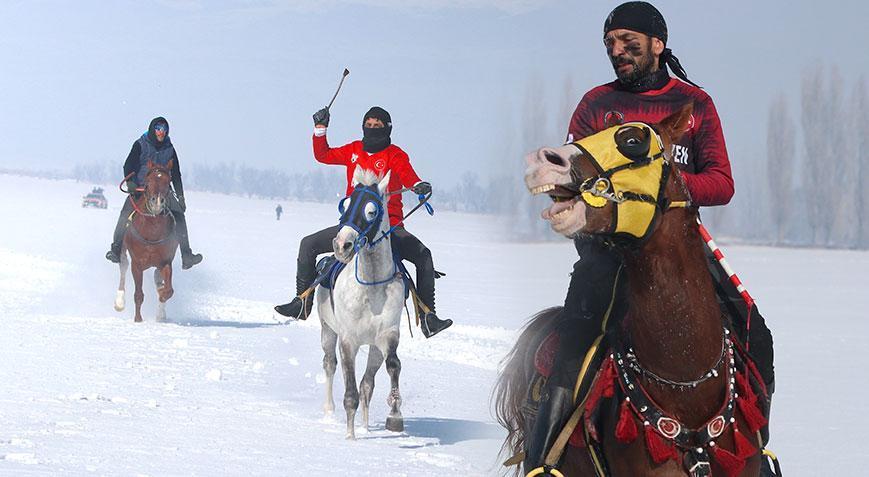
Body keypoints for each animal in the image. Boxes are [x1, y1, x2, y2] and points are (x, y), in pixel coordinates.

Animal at [112, 164, 179, 324]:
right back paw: (119, 302)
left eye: (168, 182)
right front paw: (138, 319)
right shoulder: (137, 263)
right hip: (122, 250)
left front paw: (161, 305)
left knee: (157, 277)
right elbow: (138, 294)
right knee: (123, 267)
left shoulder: (166, 262)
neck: (152, 232)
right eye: (148, 182)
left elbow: (168, 290)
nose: (157, 202)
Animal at [316, 167, 406, 438]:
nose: (341, 245)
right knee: (329, 364)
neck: (372, 286)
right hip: (327, 330)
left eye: (371, 211)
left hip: (373, 347)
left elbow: (392, 366)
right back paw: (329, 412)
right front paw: (350, 437)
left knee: (368, 383)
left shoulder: (386, 336)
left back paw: (365, 426)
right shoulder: (348, 340)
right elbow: (350, 389)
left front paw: (394, 416)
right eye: (345, 205)